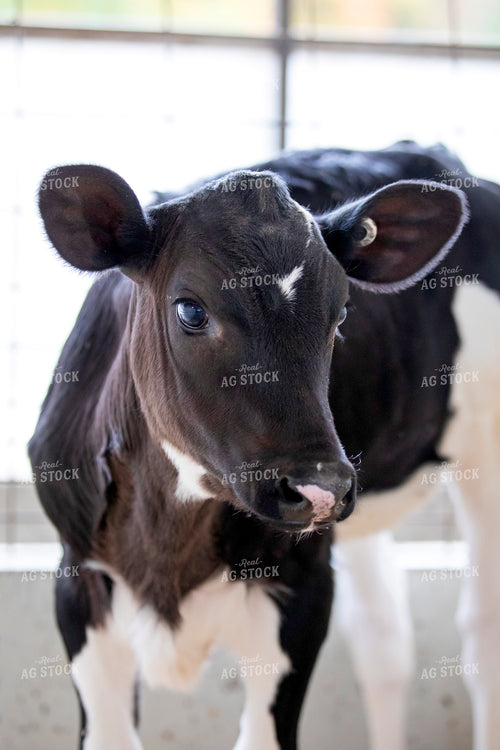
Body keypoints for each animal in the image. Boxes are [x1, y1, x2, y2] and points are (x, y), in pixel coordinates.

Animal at [29, 143, 471, 750]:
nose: (320, 487)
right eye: (191, 310)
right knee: (384, 640)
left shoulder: (304, 584)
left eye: (341, 315)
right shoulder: (77, 577)